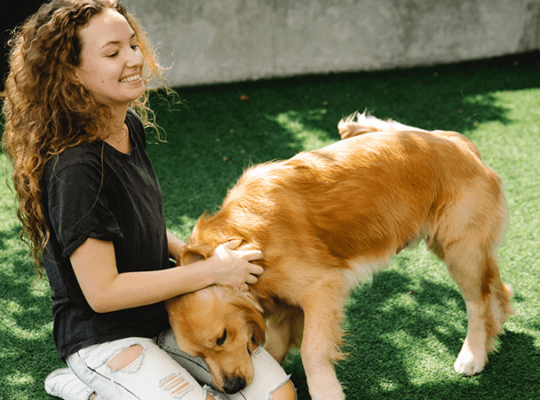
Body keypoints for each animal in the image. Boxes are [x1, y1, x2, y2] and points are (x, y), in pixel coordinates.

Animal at [166, 112, 516, 400]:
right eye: (196, 355)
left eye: (222, 338)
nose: (231, 387)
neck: (244, 239)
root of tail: (460, 144)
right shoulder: (284, 309)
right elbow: (278, 348)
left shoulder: (321, 287)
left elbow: (312, 349)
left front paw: (326, 391)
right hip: (455, 246)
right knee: (496, 287)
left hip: (460, 249)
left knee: (477, 302)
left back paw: (473, 354)